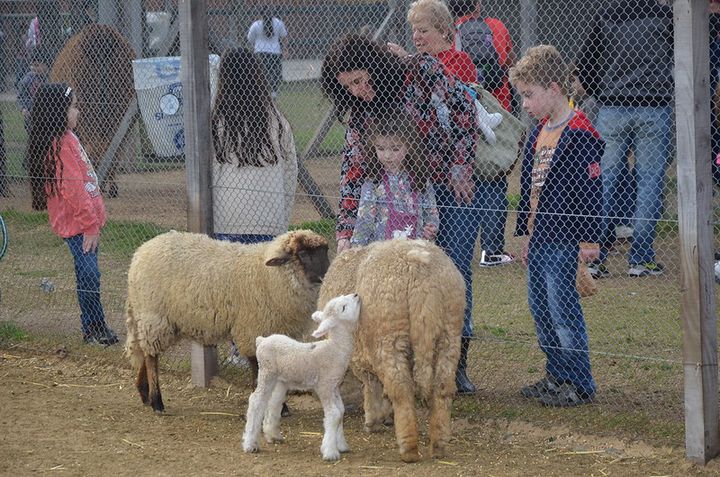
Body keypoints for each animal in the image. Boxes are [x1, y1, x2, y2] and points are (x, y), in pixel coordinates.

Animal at [126, 229, 330, 410]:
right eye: (302, 253)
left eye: (325, 251)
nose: (325, 276)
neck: (269, 276)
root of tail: (140, 252)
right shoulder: (252, 329)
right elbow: (257, 368)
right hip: (154, 317)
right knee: (151, 357)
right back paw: (156, 401)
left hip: (162, 320)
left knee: (144, 350)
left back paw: (144, 392)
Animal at [243, 292, 366, 460]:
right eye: (343, 307)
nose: (356, 295)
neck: (334, 348)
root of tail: (262, 340)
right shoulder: (324, 386)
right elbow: (334, 414)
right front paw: (330, 451)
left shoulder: (334, 386)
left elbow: (340, 411)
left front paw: (341, 445)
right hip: (266, 373)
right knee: (256, 401)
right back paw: (250, 443)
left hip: (280, 380)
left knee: (273, 402)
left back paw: (273, 435)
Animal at [318, 238, 464, 462]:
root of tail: (423, 278)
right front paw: (385, 415)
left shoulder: (360, 356)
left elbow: (371, 385)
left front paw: (373, 420)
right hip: (449, 335)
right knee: (442, 387)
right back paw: (439, 445)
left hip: (389, 337)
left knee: (401, 388)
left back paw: (409, 449)